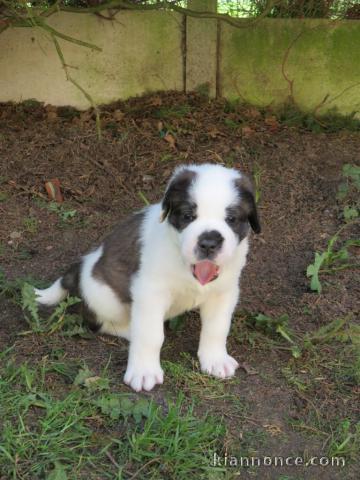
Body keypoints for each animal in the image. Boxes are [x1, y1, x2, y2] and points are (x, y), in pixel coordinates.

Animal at [35, 164, 260, 390]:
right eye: (188, 216)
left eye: (231, 219)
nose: (209, 242)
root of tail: (80, 266)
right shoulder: (150, 293)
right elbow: (150, 334)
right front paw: (144, 371)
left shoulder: (224, 293)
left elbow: (217, 328)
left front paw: (215, 359)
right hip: (105, 298)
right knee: (101, 322)